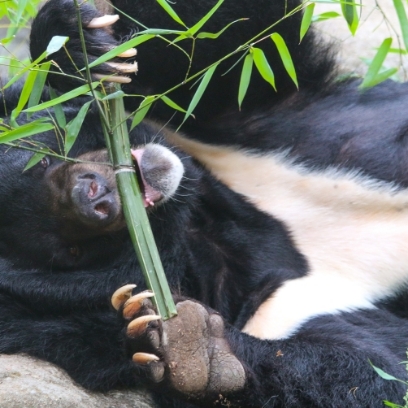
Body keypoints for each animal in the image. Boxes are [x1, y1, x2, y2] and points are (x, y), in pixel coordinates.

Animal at [0, 0, 408, 406]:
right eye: (70, 251)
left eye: (44, 159)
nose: (96, 196)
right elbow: (371, 373)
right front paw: (186, 344)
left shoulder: (220, 122)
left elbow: (217, 43)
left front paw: (84, 42)